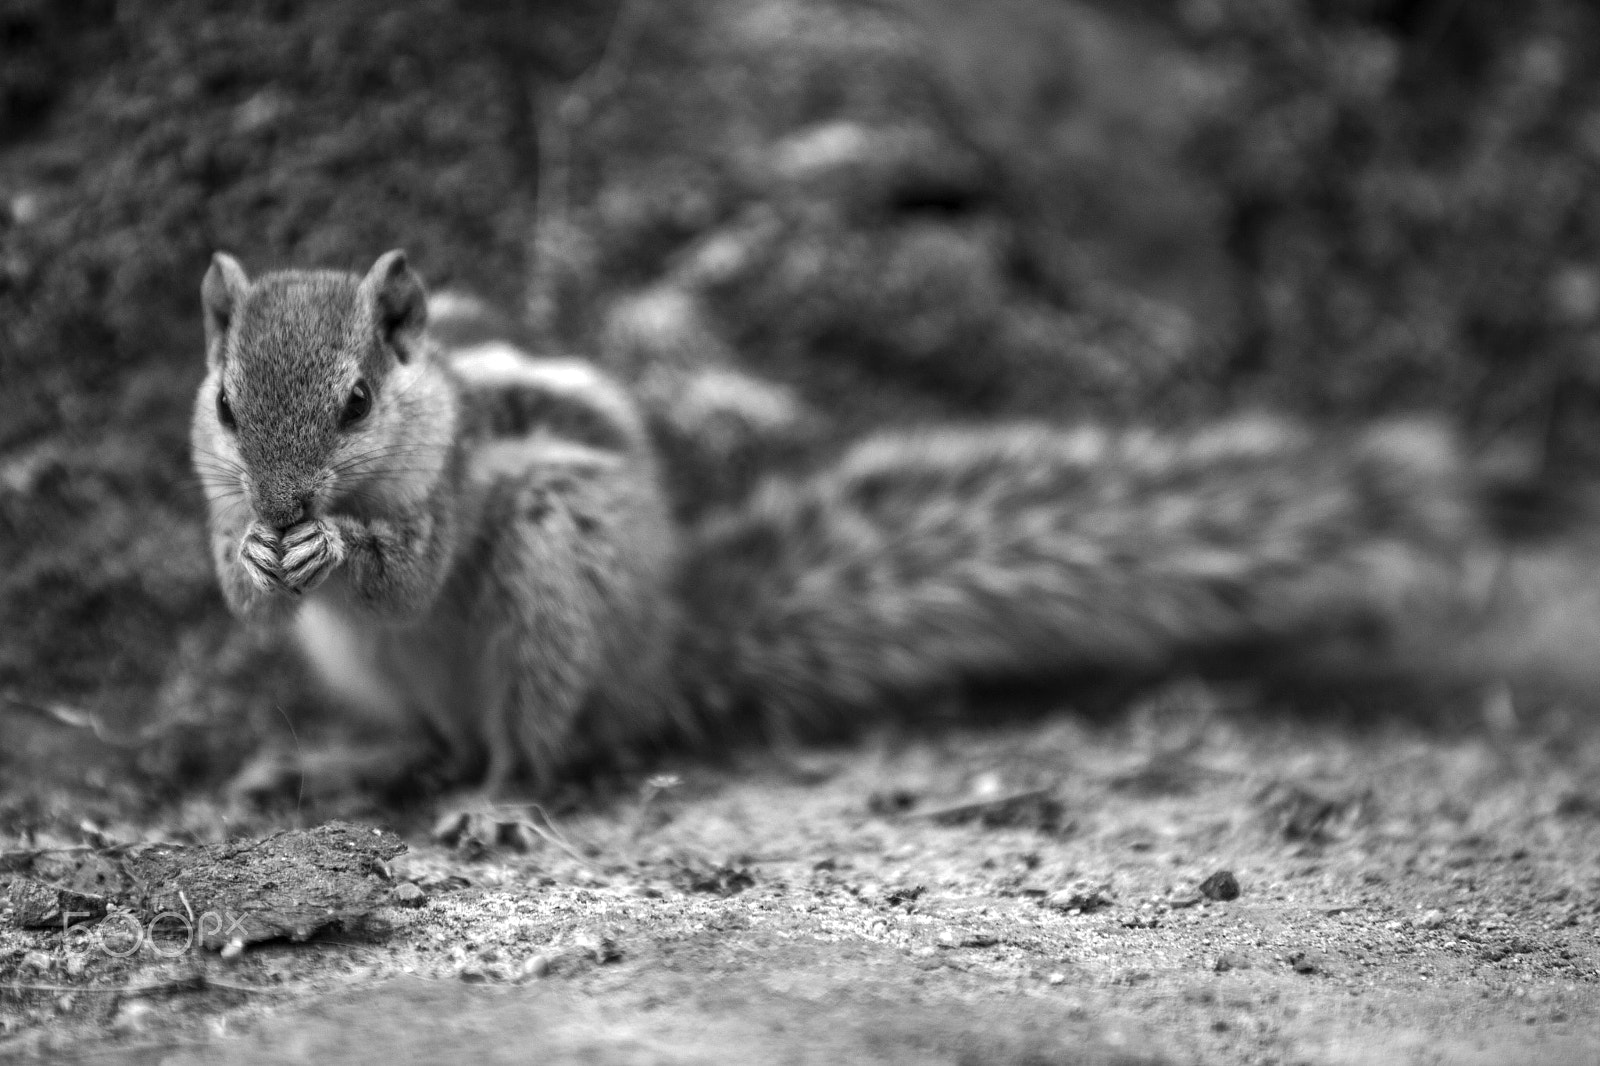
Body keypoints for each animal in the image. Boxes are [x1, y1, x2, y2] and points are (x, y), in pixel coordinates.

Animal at [192, 250, 1560, 805]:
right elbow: (239, 587)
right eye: (225, 402)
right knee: (428, 733)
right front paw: (252, 557)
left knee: (526, 737)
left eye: (357, 402)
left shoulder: (460, 479)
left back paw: (495, 796)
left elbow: (412, 576)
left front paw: (339, 548)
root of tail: (659, 647)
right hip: (367, 667)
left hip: (551, 569)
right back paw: (352, 763)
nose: (284, 505)